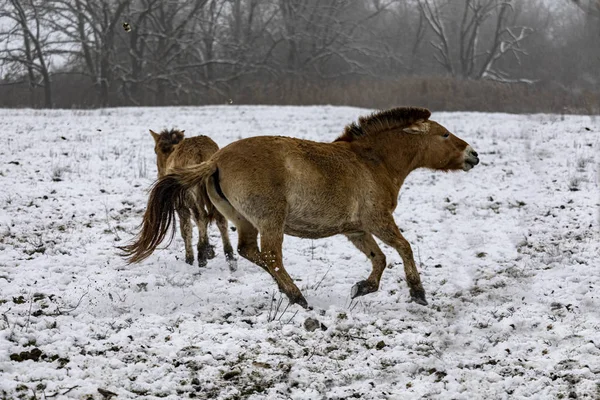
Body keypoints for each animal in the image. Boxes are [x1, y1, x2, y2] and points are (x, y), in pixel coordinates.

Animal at [127, 129, 234, 268]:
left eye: (155, 150)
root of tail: (200, 153)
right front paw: (209, 251)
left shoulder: (181, 204)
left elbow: (186, 228)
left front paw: (191, 257)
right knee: (220, 219)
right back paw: (230, 257)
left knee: (202, 217)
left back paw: (201, 254)